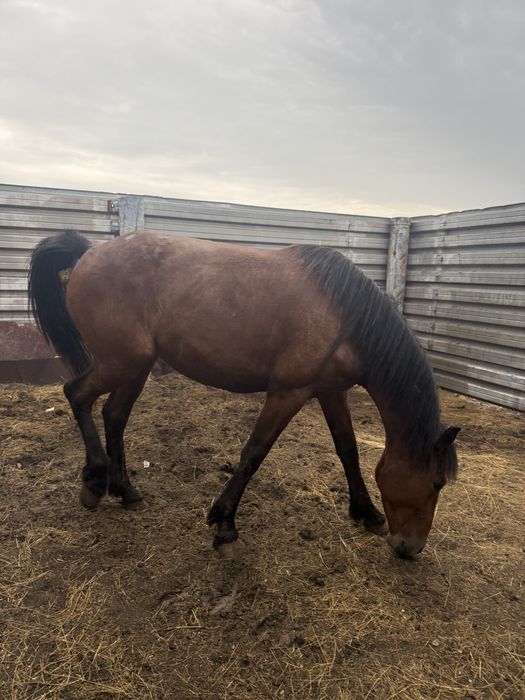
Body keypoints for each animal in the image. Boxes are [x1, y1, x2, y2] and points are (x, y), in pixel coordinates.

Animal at [28, 230, 459, 558]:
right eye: (437, 483)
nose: (411, 548)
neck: (344, 315)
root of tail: (90, 252)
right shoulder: (288, 393)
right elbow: (253, 453)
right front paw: (224, 523)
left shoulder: (331, 392)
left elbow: (348, 450)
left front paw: (366, 512)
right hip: (122, 363)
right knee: (77, 395)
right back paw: (94, 482)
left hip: (134, 367)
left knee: (114, 415)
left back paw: (125, 489)